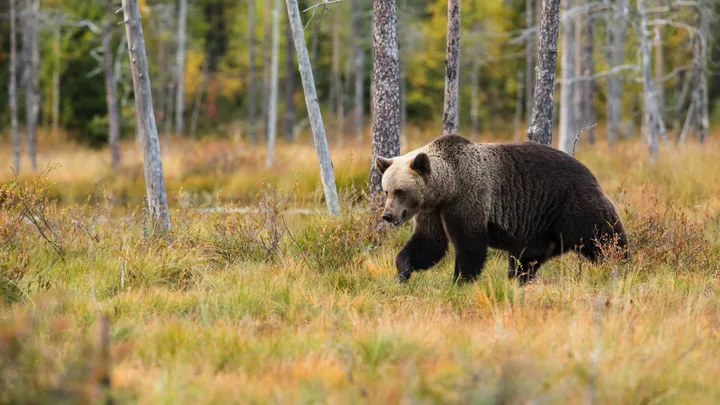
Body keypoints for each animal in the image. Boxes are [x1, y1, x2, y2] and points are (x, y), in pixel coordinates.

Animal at [375, 134, 629, 285]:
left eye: (400, 191)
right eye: (386, 191)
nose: (387, 215)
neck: (447, 188)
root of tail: (590, 171)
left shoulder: (469, 198)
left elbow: (470, 244)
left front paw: (460, 280)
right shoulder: (433, 211)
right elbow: (429, 244)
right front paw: (403, 271)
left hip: (572, 205)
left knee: (605, 237)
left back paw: (621, 265)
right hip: (538, 228)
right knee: (526, 258)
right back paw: (519, 279)